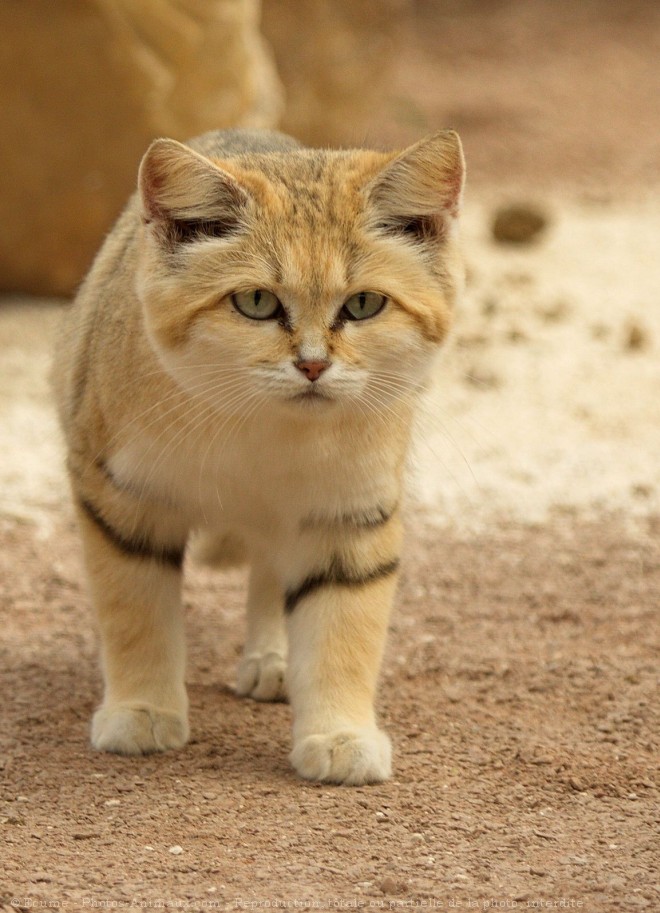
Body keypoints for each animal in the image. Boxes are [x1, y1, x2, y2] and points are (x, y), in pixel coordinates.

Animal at [54, 126, 464, 784]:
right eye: (254, 301)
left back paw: (272, 659)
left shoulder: (349, 514)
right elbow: (136, 612)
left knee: (271, 573)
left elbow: (343, 627)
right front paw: (142, 709)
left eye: (364, 305)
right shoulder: (121, 499)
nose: (313, 365)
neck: (265, 432)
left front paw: (340, 734)